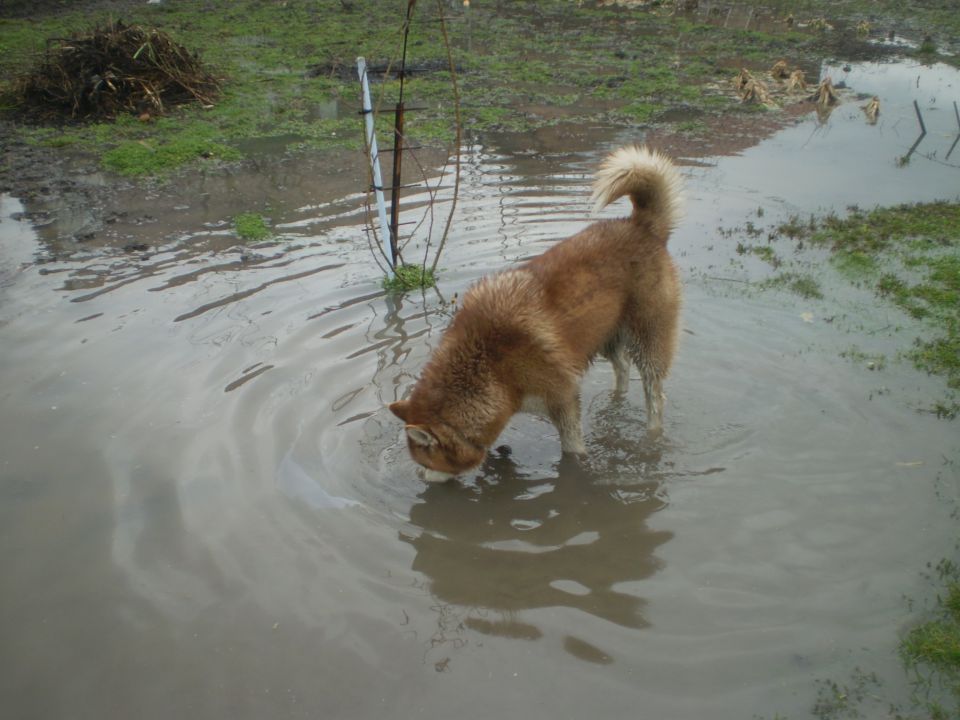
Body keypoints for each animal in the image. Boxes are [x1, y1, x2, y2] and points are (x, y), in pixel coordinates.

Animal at [390, 146, 684, 480]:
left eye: (425, 463)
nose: (420, 479)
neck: (490, 364)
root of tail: (641, 226)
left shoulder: (563, 399)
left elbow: (572, 449)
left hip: (648, 341)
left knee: (654, 394)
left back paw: (652, 435)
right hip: (605, 332)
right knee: (621, 368)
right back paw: (616, 401)